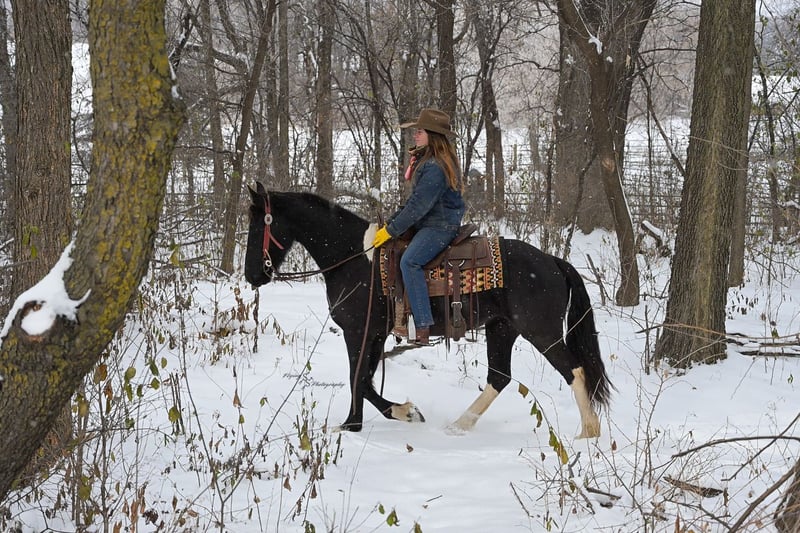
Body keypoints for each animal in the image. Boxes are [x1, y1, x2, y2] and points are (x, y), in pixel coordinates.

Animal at [244, 182, 612, 438]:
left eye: (259, 225)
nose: (252, 275)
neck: (353, 258)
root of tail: (553, 261)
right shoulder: (375, 335)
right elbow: (364, 380)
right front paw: (395, 414)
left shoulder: (358, 331)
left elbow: (358, 379)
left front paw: (359, 424)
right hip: (502, 329)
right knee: (499, 377)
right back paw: (459, 426)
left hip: (541, 331)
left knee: (575, 371)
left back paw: (588, 433)